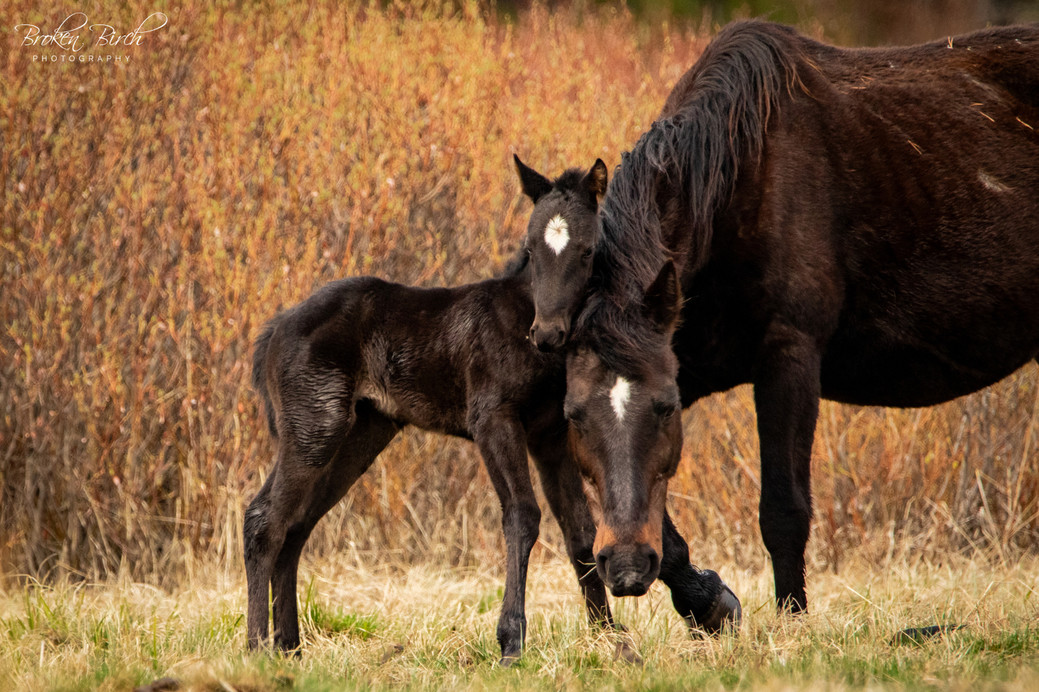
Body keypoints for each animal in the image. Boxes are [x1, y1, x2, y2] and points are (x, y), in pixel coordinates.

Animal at [244, 243, 740, 664]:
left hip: (361, 434)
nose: (555, 329)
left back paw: (290, 647)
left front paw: (609, 639)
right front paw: (511, 641)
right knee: (264, 518)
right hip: (314, 427)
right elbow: (522, 515)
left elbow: (579, 530)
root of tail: (270, 334)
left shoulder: (550, 436)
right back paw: (256, 647)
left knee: (297, 525)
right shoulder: (493, 419)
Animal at [515, 19, 1039, 611]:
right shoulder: (680, 358)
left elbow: (784, 512)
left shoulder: (789, 358)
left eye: (663, 409)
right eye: (575, 415)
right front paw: (709, 604)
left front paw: (791, 621)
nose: (624, 569)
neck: (742, 180)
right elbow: (661, 524)